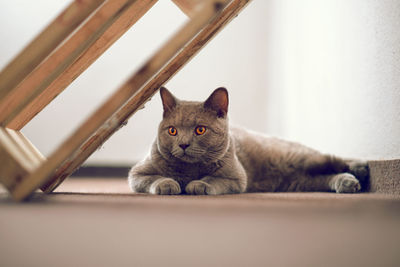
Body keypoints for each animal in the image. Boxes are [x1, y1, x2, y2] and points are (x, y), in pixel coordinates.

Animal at [129, 87, 368, 195]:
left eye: (200, 130)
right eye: (172, 131)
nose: (183, 144)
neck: (189, 170)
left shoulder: (235, 177)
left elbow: (213, 179)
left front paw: (198, 185)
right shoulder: (137, 174)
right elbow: (153, 178)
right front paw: (168, 184)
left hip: (299, 157)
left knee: (331, 158)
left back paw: (360, 168)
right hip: (298, 181)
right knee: (323, 177)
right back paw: (348, 182)